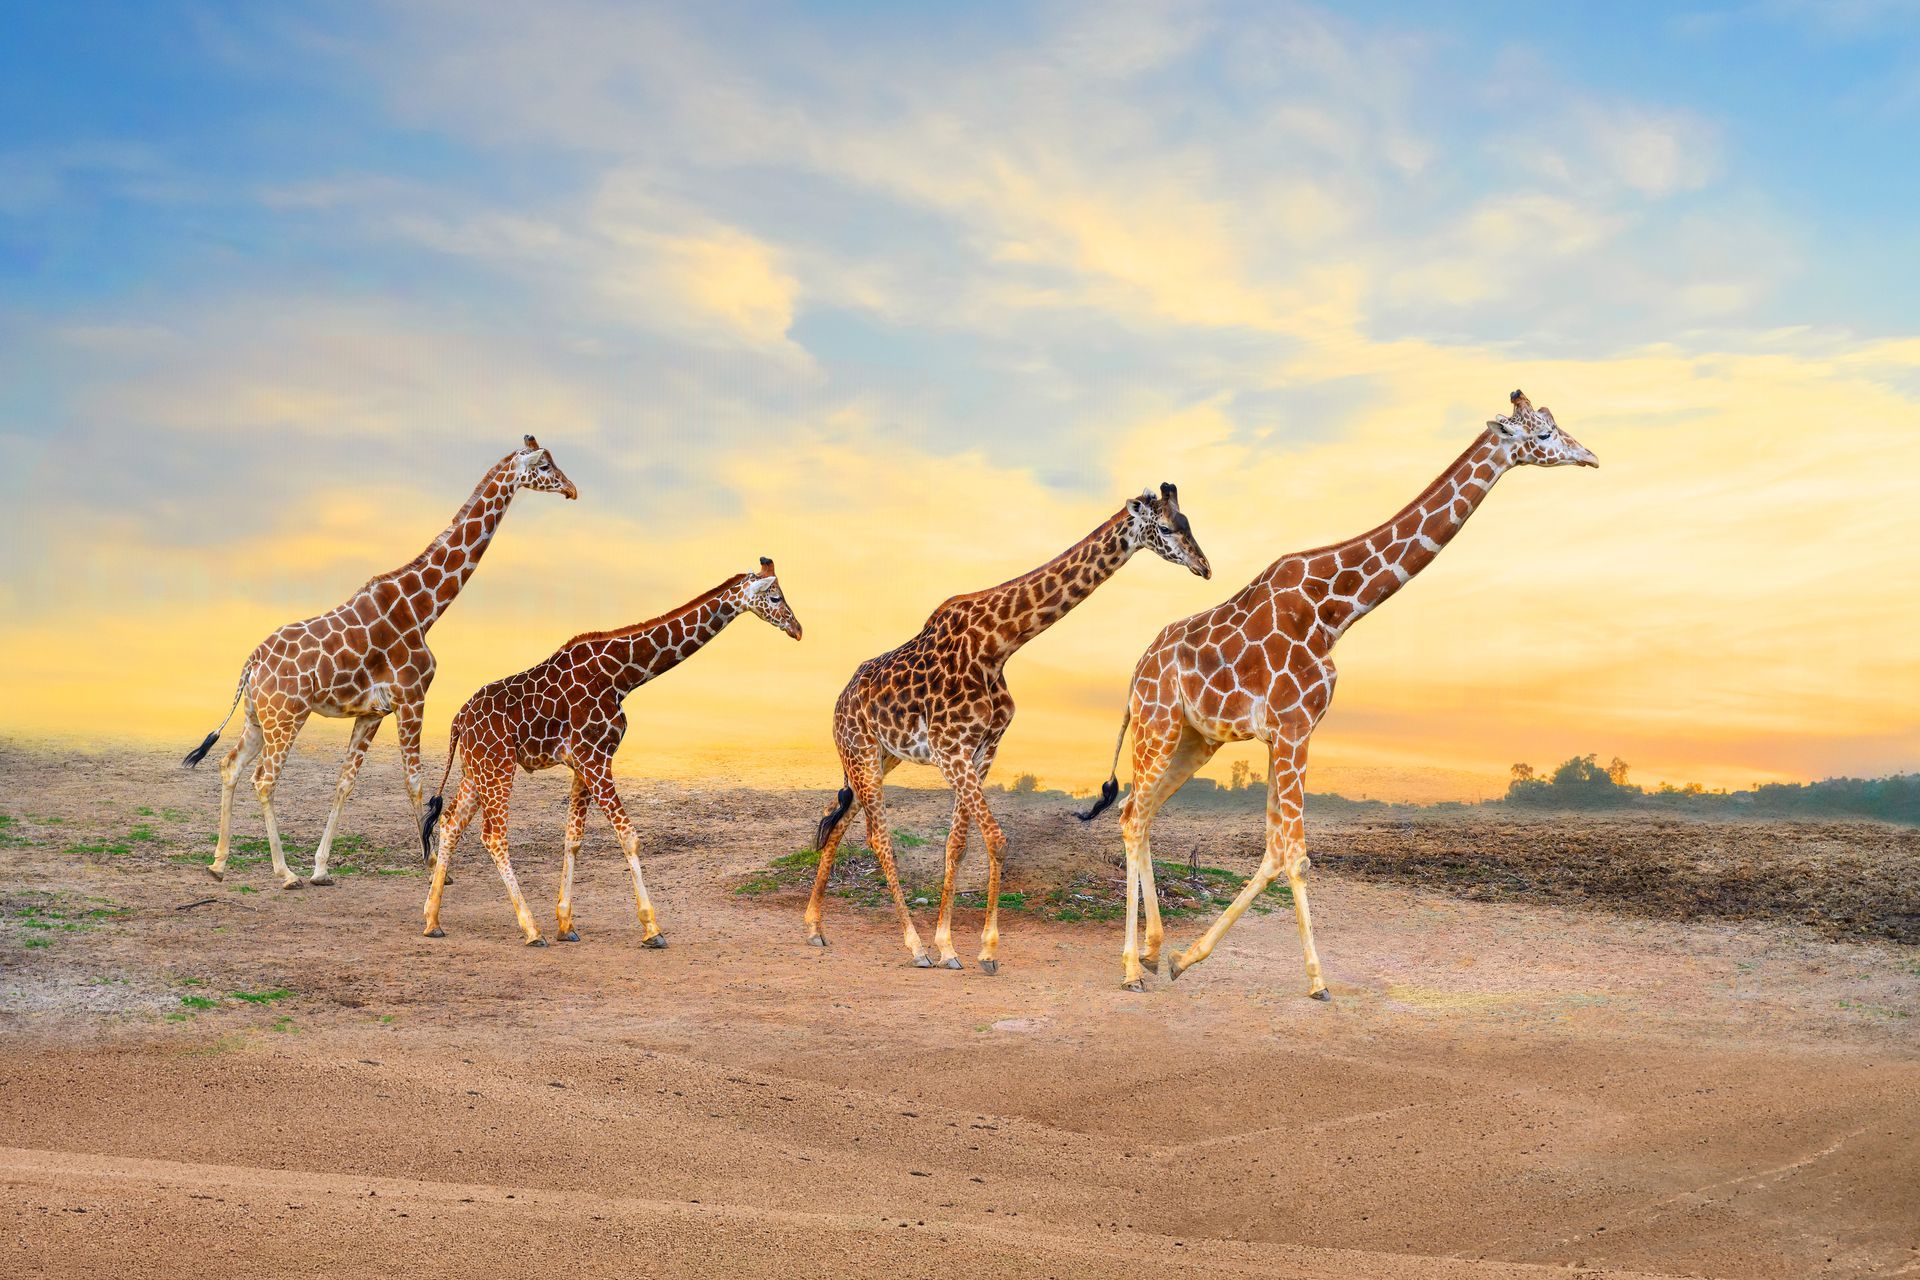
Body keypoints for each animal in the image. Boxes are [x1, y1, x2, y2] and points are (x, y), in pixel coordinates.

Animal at [184, 436, 578, 890]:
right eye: (545, 466)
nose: (572, 489)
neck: (425, 608)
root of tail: (251, 663)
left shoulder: (372, 712)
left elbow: (345, 783)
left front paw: (322, 868)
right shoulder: (412, 697)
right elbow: (415, 781)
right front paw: (432, 864)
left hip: (257, 717)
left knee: (229, 766)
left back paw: (218, 863)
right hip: (286, 717)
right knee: (264, 780)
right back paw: (284, 872)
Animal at [420, 559, 802, 946]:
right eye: (775, 596)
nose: (798, 629)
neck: (621, 677)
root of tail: (457, 721)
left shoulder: (583, 762)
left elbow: (573, 838)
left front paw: (566, 924)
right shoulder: (595, 757)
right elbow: (629, 837)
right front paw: (651, 928)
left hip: (475, 769)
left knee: (450, 824)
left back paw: (432, 920)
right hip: (497, 765)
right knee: (494, 836)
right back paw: (531, 929)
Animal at [805, 486, 1210, 973]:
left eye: (1188, 522)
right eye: (1165, 528)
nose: (1204, 566)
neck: (998, 645)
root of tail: (839, 701)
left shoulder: (981, 749)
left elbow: (958, 844)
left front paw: (950, 946)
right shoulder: (950, 748)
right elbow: (996, 840)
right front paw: (983, 950)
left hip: (880, 757)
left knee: (837, 821)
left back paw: (815, 928)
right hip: (861, 750)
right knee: (877, 836)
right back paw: (913, 947)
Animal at [1079, 392, 1598, 996]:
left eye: (1556, 425)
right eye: (1542, 436)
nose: (1589, 456)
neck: (1335, 611)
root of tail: (1136, 673)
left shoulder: (1284, 732)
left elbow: (1274, 850)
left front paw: (1188, 958)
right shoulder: (1293, 726)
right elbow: (1296, 855)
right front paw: (1317, 980)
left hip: (1195, 738)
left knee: (1139, 811)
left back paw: (1154, 951)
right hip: (1158, 723)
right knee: (1132, 816)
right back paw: (1131, 966)